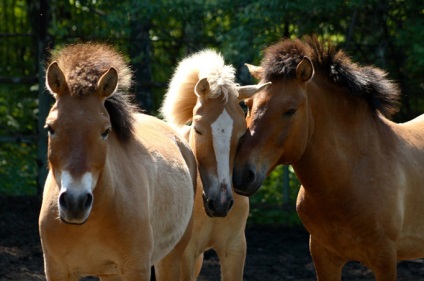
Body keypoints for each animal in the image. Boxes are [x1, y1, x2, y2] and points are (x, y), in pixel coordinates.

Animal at [38, 42, 197, 278]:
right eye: (50, 128)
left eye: (105, 131)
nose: (75, 202)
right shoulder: (57, 270)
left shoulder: (136, 268)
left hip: (172, 258)